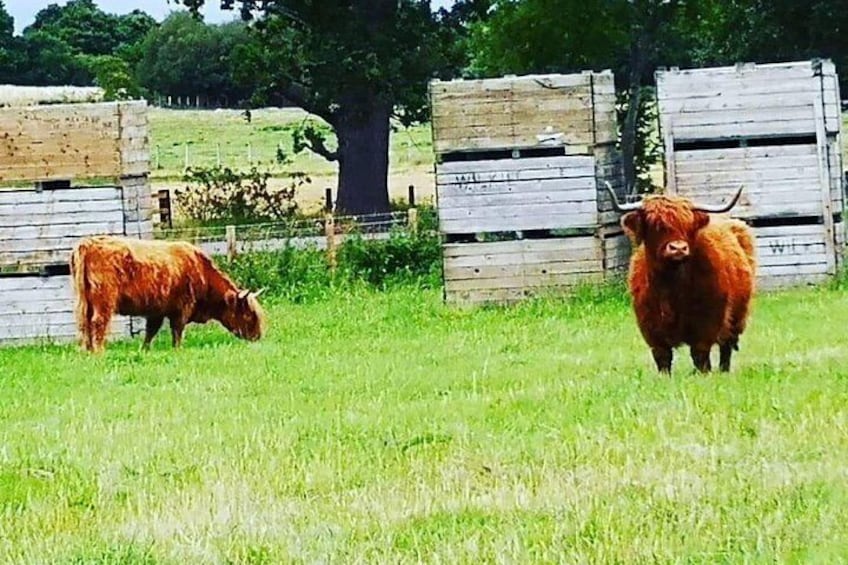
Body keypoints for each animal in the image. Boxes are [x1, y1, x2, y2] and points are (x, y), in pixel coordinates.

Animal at [70, 235, 264, 352]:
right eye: (248, 314)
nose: (258, 337)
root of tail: (89, 243)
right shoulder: (182, 308)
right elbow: (177, 330)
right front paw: (177, 349)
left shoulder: (157, 311)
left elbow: (150, 332)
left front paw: (144, 350)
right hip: (104, 301)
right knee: (98, 323)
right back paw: (99, 352)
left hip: (86, 302)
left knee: (85, 324)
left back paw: (88, 350)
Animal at [604, 183, 756, 372]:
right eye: (656, 225)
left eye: (688, 225)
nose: (678, 248)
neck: (672, 286)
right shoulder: (653, 332)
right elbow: (663, 361)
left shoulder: (706, 327)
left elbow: (701, 360)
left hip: (736, 318)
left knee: (725, 348)